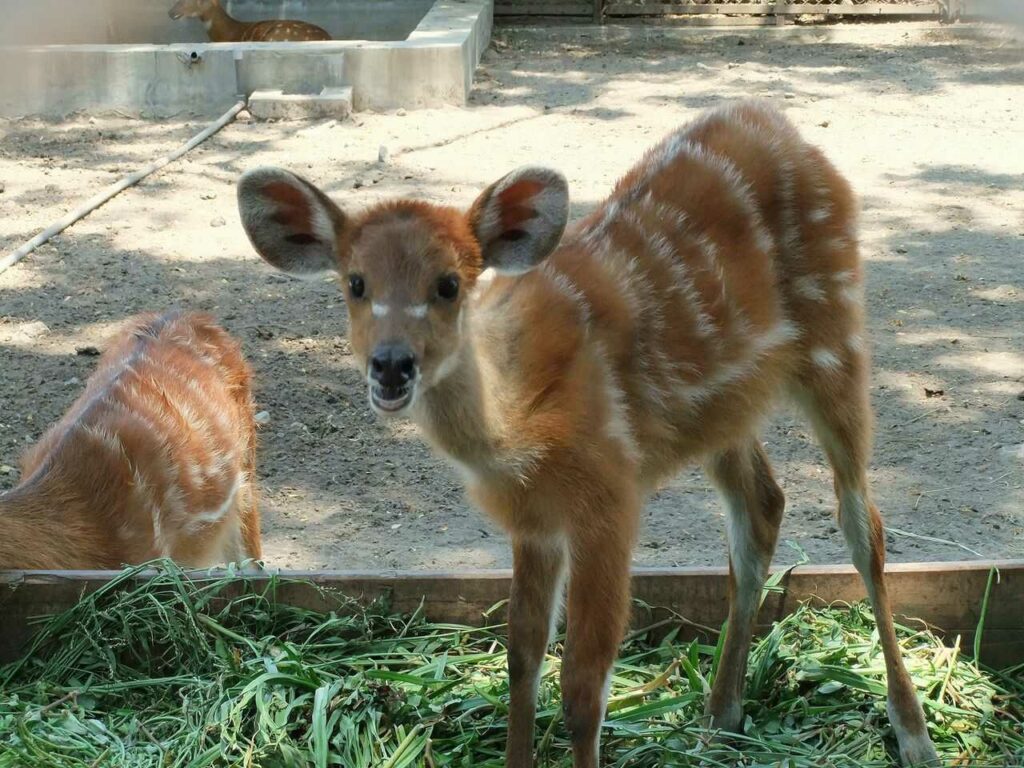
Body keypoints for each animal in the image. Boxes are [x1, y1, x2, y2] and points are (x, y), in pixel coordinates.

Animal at [235, 100, 937, 765]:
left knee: (861, 523)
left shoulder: (608, 498)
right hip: (723, 409)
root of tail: (782, 126)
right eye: (355, 283)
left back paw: (913, 736)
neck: (518, 430)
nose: (391, 364)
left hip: (835, 332)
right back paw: (719, 717)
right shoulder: (535, 521)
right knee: (762, 508)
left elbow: (583, 686)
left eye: (450, 284)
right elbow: (521, 658)